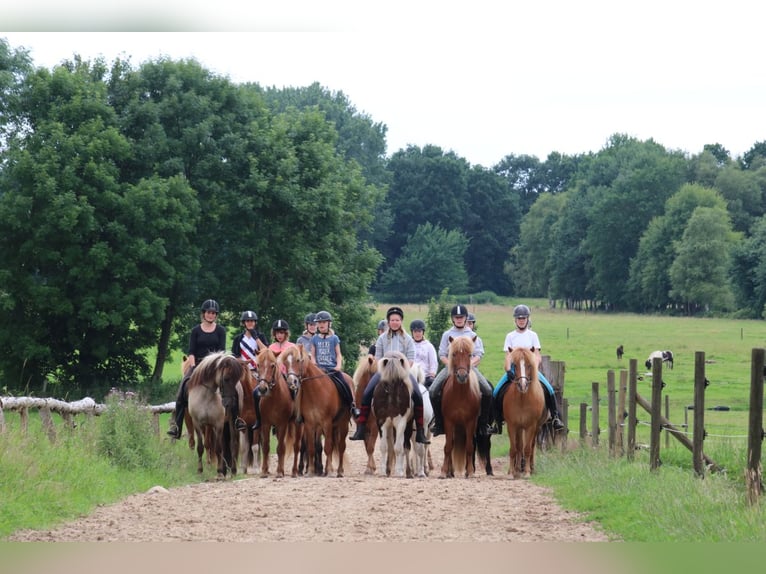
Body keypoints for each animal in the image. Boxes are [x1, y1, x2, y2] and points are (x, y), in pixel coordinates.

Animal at [255, 348, 304, 480]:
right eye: (258, 365)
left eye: (272, 365)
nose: (262, 389)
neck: (273, 398)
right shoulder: (266, 424)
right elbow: (266, 447)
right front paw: (264, 471)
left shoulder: (282, 424)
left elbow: (280, 448)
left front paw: (279, 472)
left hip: (297, 425)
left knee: (296, 446)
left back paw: (294, 471)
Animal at [280, 344, 352, 480]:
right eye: (286, 363)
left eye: (298, 360)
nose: (292, 382)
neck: (315, 390)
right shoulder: (309, 423)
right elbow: (311, 448)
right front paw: (311, 471)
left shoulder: (326, 422)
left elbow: (327, 447)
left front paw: (328, 471)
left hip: (343, 423)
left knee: (341, 446)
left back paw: (339, 471)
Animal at [440, 338, 484, 482]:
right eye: (453, 354)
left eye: (470, 355)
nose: (462, 376)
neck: (460, 394)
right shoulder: (448, 421)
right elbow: (448, 446)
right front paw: (444, 471)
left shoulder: (470, 422)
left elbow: (469, 447)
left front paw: (470, 472)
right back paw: (450, 471)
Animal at [508, 348, 548, 480]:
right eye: (514, 365)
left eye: (529, 365)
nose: (523, 385)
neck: (522, 399)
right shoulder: (512, 425)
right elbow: (514, 448)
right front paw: (512, 472)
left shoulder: (531, 426)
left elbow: (527, 449)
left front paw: (526, 472)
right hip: (520, 428)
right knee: (519, 446)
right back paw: (516, 469)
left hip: (537, 427)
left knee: (532, 446)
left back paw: (531, 468)